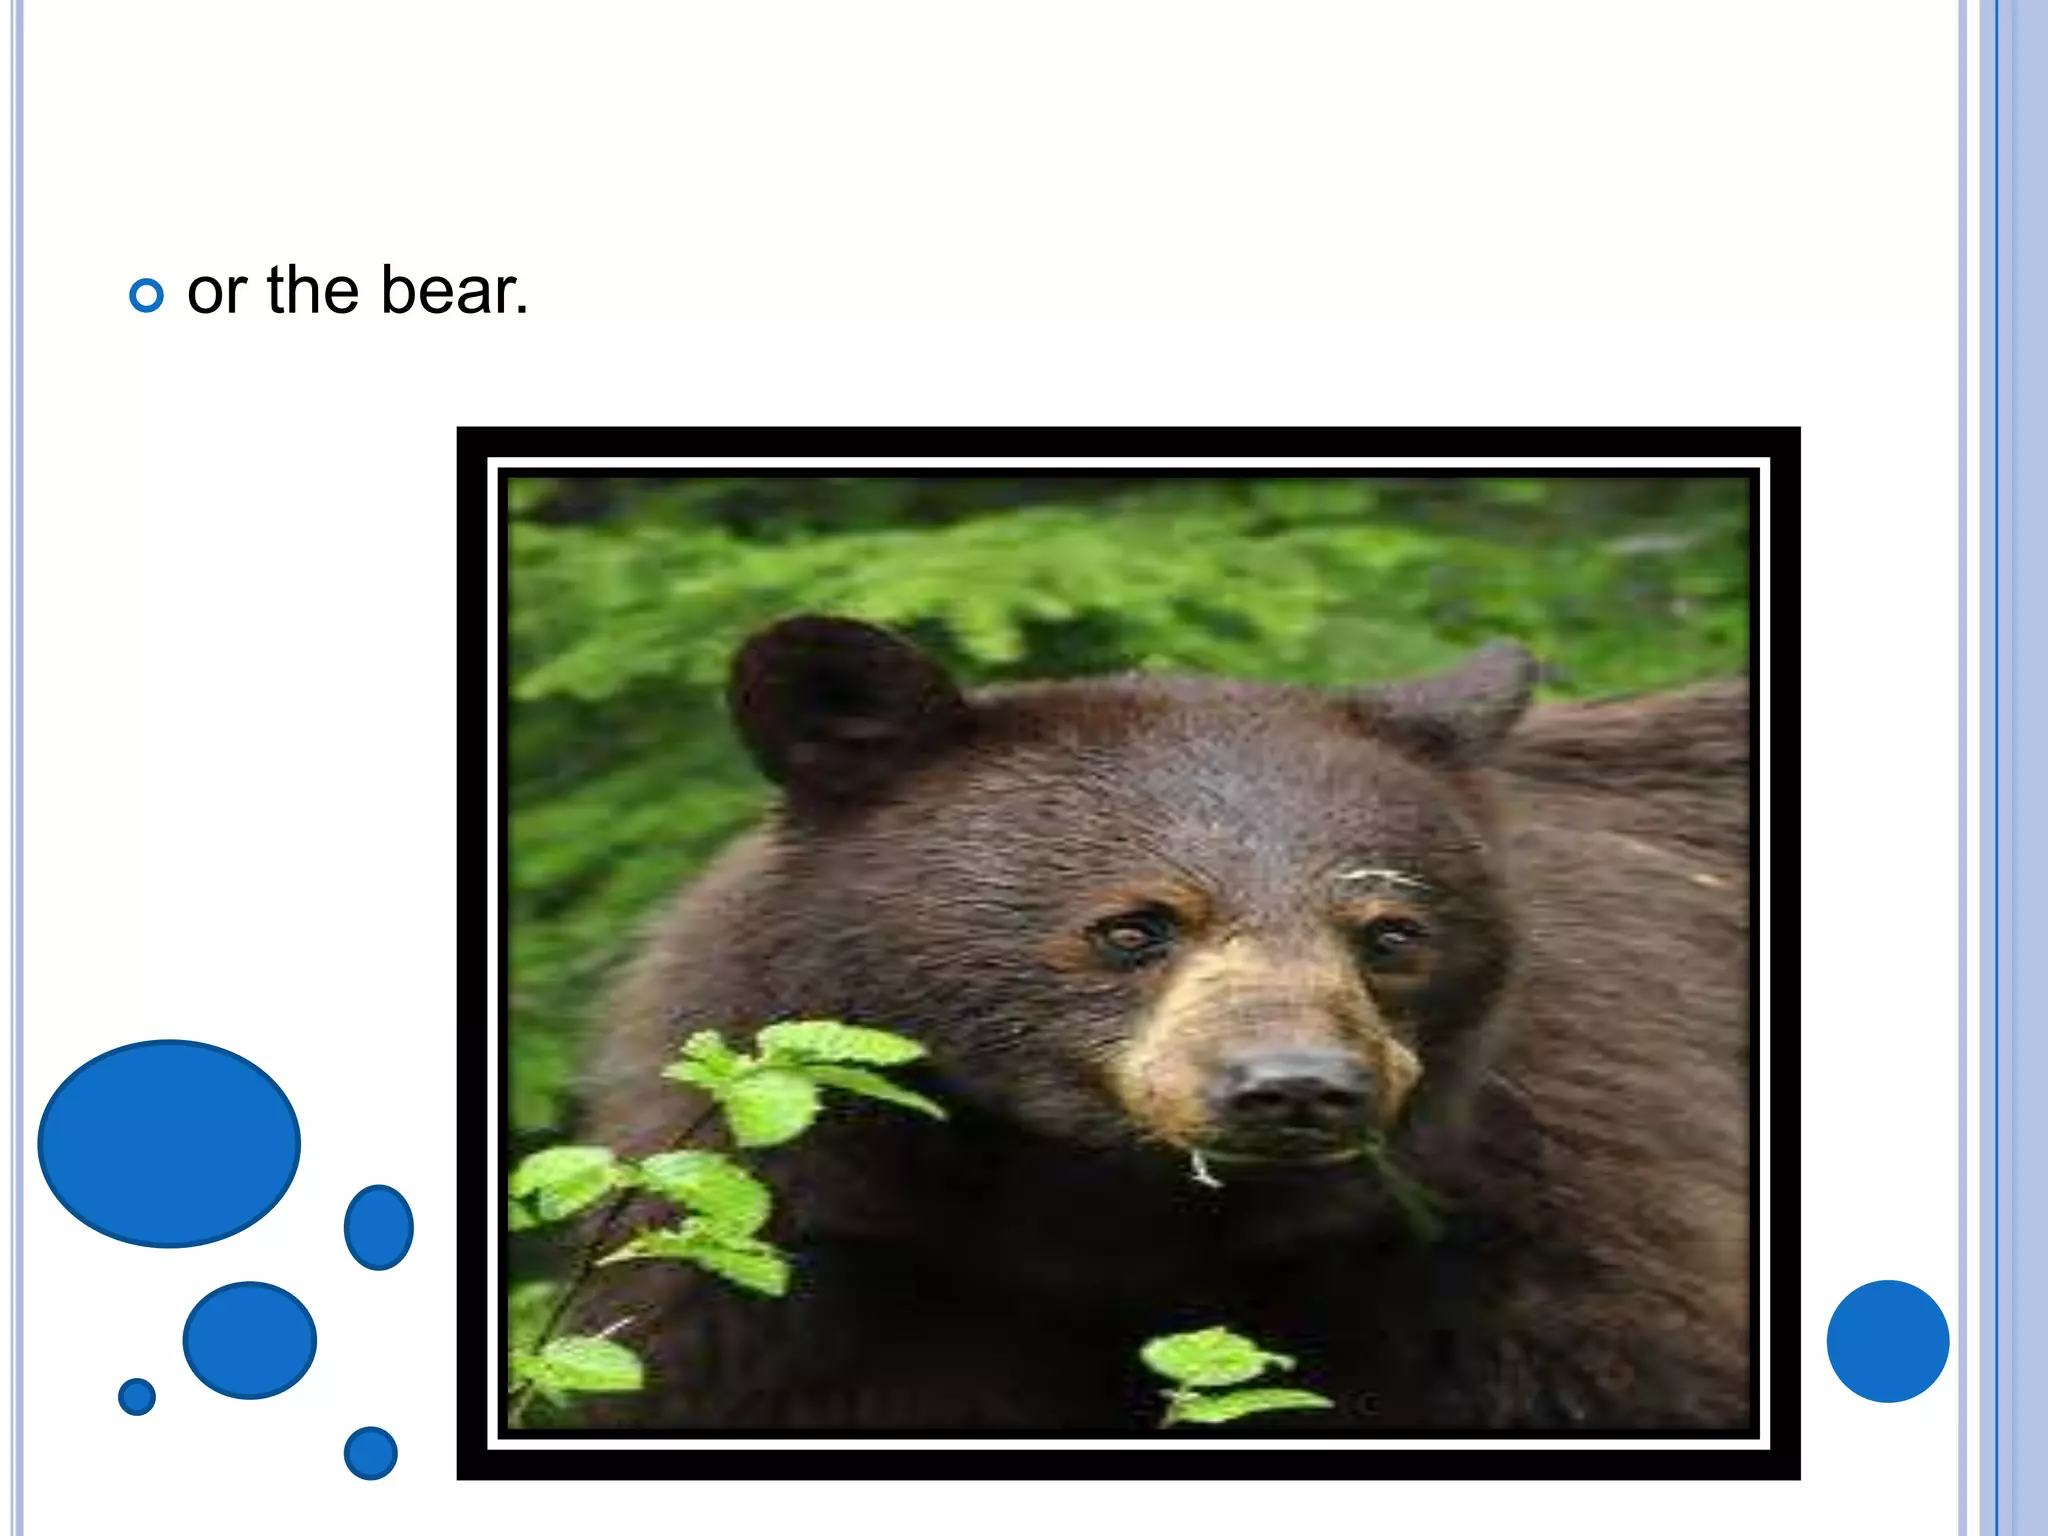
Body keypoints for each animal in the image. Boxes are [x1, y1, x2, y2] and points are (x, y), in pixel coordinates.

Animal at [564, 614, 1752, 1433]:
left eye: (1389, 933)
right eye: (1132, 926)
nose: (1295, 1087)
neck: (1102, 1216)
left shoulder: (1525, 1225)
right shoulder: (807, 1260)